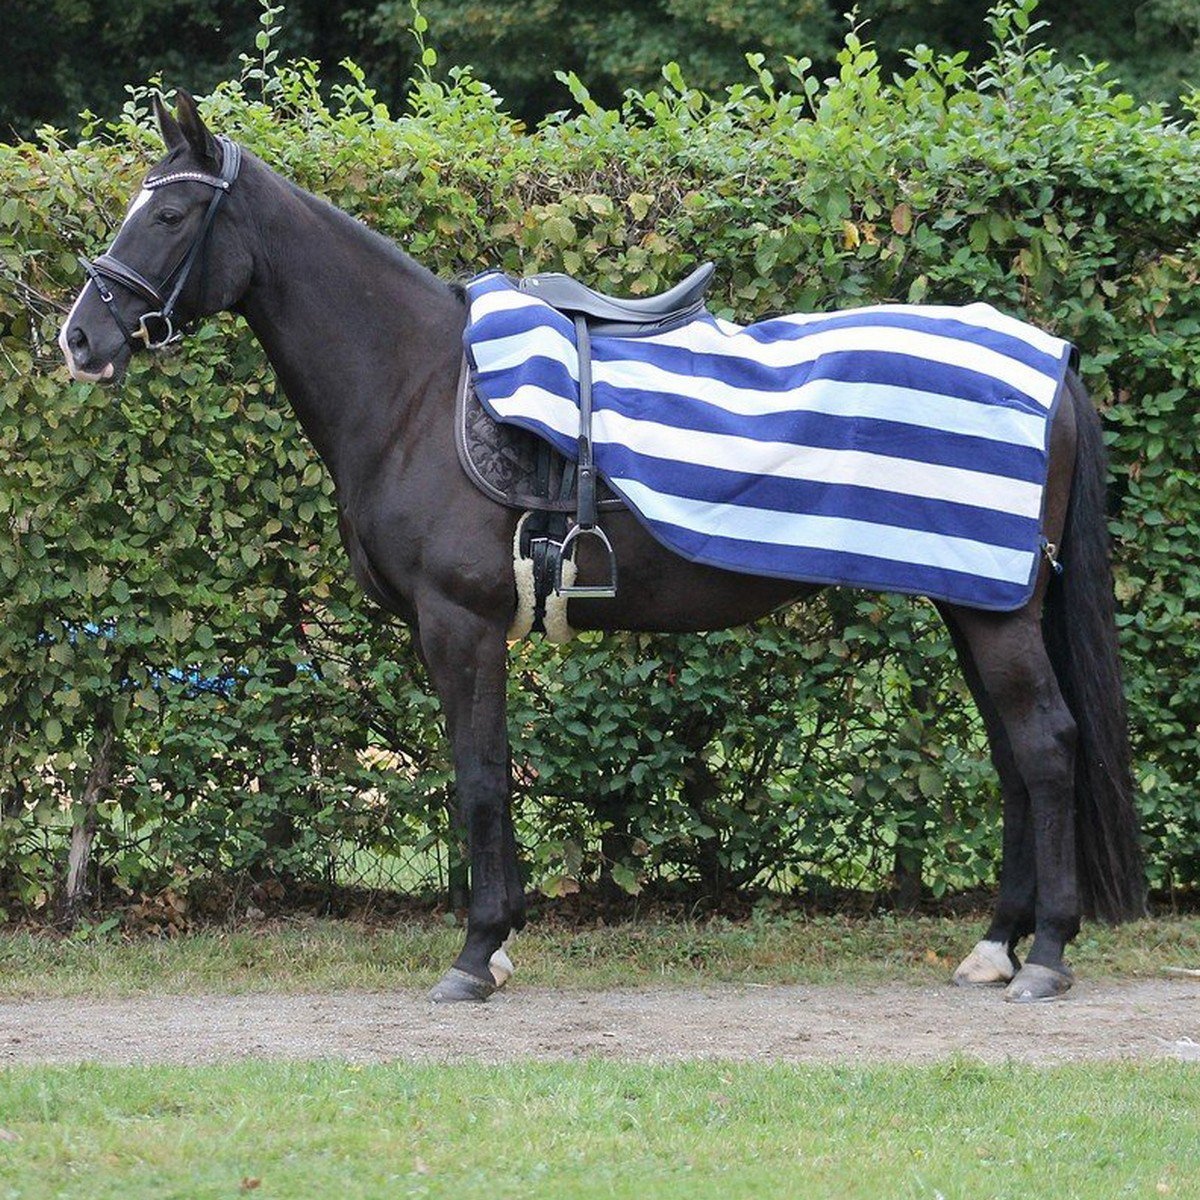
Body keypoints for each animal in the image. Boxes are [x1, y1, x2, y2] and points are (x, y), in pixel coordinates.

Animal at [59, 92, 1145, 1004]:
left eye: (168, 214)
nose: (80, 340)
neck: (416, 388)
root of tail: (1050, 360)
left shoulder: (461, 624)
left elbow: (478, 775)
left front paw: (476, 954)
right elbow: (490, 770)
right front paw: (499, 940)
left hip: (995, 608)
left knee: (1046, 746)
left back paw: (1046, 956)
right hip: (974, 596)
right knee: (1014, 758)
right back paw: (995, 945)